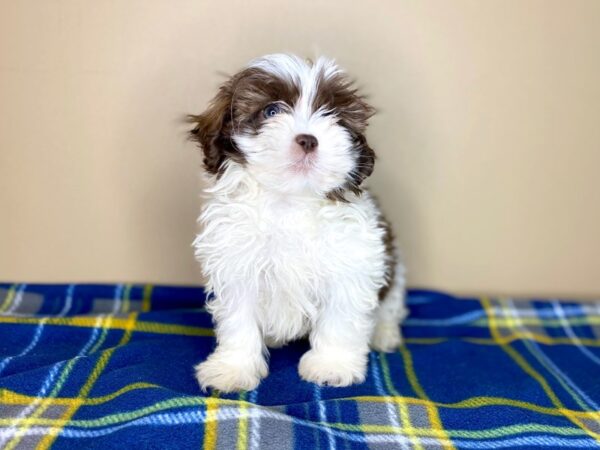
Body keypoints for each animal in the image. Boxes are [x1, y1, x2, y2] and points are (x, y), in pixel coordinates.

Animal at [190, 53, 410, 394]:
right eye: (271, 111)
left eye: (332, 115)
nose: (308, 139)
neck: (290, 200)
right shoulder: (236, 266)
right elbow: (238, 320)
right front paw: (233, 368)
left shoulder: (350, 263)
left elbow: (340, 317)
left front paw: (332, 365)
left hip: (394, 273)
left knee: (391, 305)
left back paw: (383, 333)